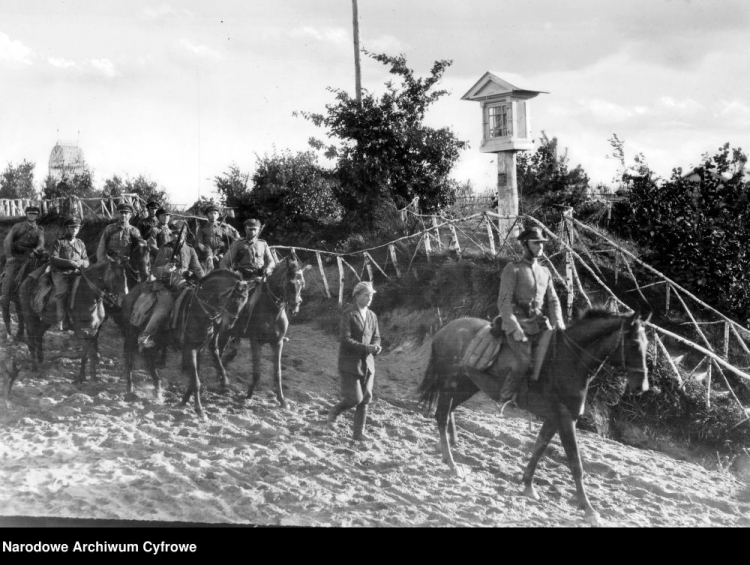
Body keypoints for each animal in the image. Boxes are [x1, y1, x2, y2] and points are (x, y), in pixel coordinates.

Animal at [16, 253, 137, 386]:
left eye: (128, 276)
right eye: (117, 276)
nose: (124, 299)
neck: (88, 295)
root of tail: (25, 281)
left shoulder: (94, 331)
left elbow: (90, 353)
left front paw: (91, 377)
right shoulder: (82, 331)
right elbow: (87, 353)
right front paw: (83, 377)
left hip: (46, 320)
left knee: (38, 335)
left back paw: (41, 360)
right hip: (29, 317)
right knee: (31, 341)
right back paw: (34, 367)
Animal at [121, 266, 250, 416]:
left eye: (244, 304)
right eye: (234, 301)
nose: (229, 326)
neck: (198, 309)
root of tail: (130, 293)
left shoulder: (200, 348)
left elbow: (194, 379)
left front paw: (183, 401)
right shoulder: (190, 349)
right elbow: (196, 381)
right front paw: (199, 410)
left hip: (157, 340)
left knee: (149, 359)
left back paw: (158, 389)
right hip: (131, 332)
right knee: (129, 358)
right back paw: (130, 389)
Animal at [219, 256, 310, 410]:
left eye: (302, 284)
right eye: (289, 283)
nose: (294, 308)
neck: (271, 311)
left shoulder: (277, 343)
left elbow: (277, 373)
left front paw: (282, 401)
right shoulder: (256, 342)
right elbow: (257, 372)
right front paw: (248, 396)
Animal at [418, 306, 652, 528]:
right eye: (633, 344)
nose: (642, 386)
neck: (567, 361)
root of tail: (446, 329)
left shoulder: (553, 419)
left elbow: (539, 448)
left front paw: (528, 485)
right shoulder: (565, 419)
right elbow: (576, 463)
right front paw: (589, 509)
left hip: (468, 385)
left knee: (449, 411)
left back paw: (449, 445)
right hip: (451, 383)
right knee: (441, 415)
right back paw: (451, 463)